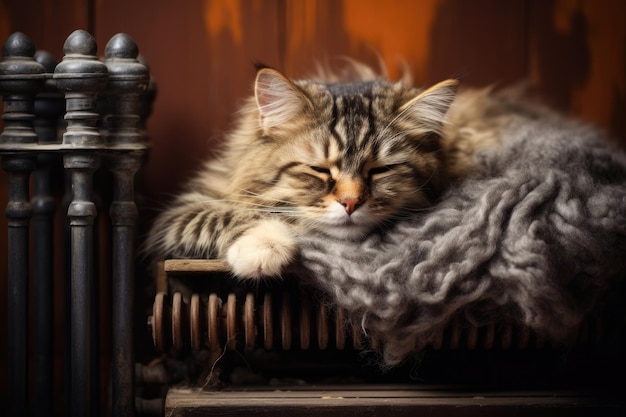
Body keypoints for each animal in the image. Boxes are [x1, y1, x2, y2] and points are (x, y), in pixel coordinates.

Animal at [143, 64, 516, 280]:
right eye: (319, 170)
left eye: (381, 170)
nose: (350, 203)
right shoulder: (180, 212)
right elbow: (231, 215)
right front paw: (265, 245)